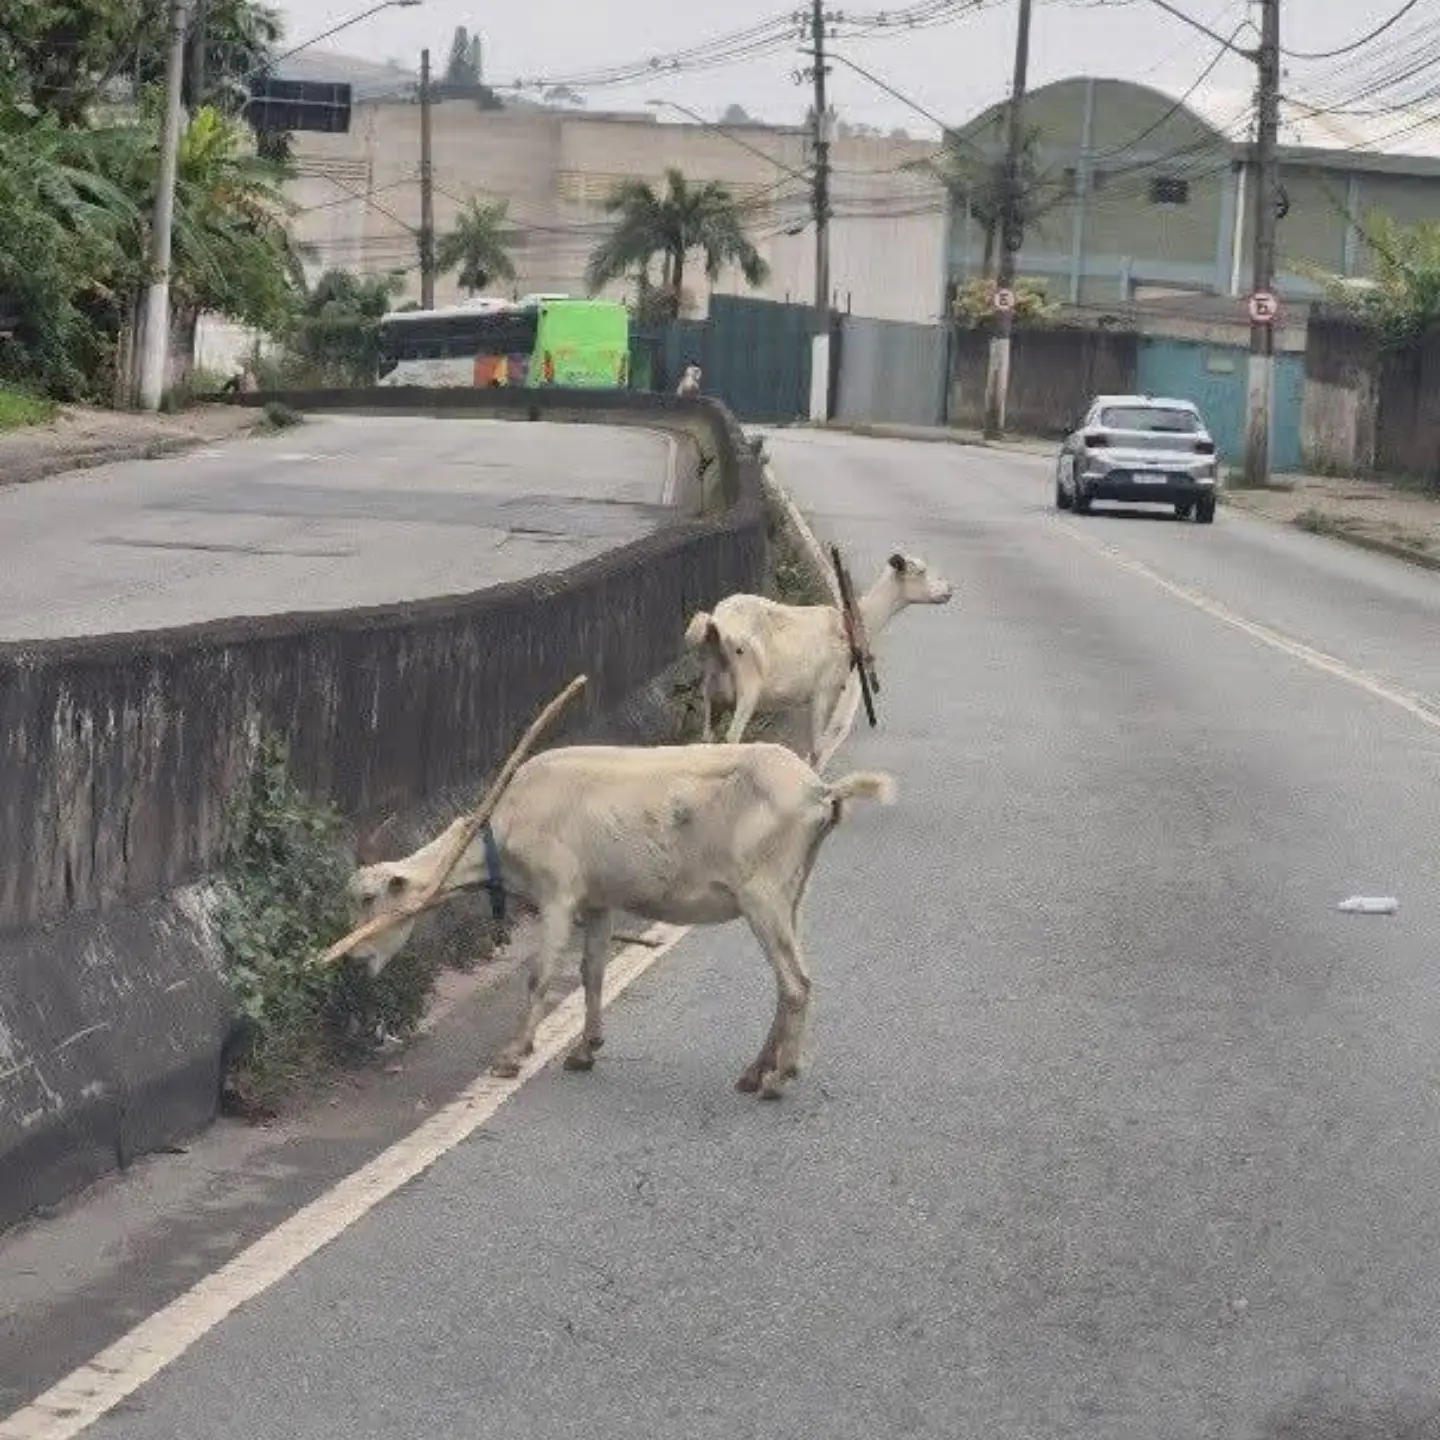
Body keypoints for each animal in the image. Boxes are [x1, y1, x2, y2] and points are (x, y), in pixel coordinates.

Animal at [348, 742, 896, 1099]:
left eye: (369, 897)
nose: (354, 959)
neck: (508, 817)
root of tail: (820, 790)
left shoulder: (558, 894)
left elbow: (539, 976)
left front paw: (513, 1054)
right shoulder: (598, 901)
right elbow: (591, 972)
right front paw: (585, 1050)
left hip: (762, 894)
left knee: (796, 983)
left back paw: (778, 1078)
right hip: (791, 894)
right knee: (788, 982)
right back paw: (756, 1071)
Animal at [684, 552, 953, 766]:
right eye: (920, 571)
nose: (950, 590)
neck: (849, 626)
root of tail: (714, 623)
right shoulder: (823, 690)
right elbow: (816, 750)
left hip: (712, 690)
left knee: (707, 740)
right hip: (748, 685)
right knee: (732, 737)